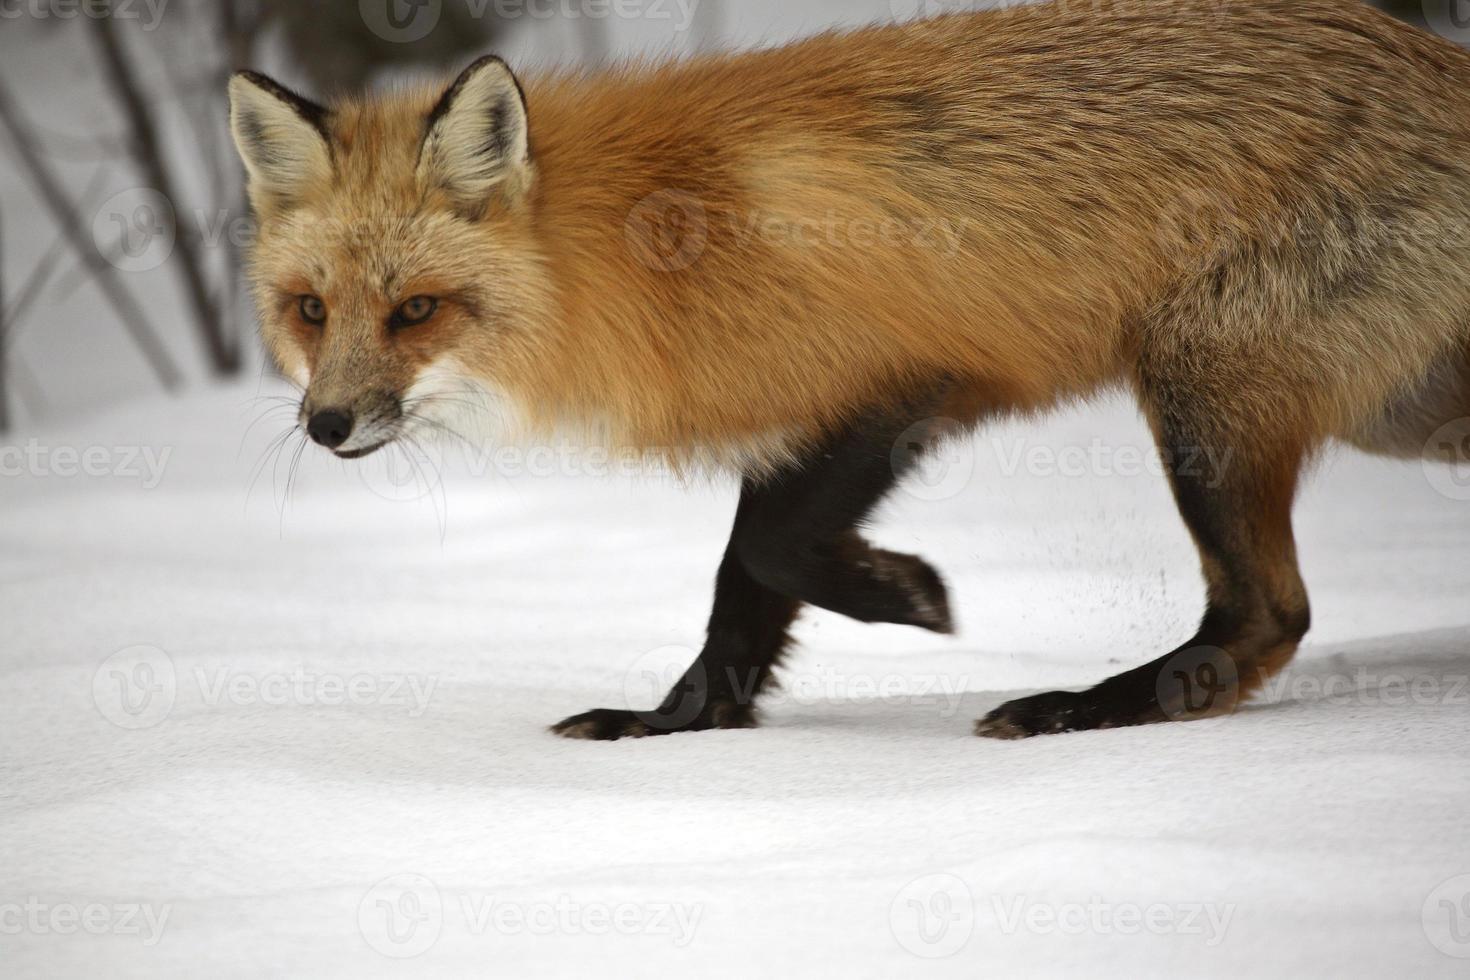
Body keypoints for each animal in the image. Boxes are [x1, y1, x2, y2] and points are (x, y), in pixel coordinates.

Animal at [226, 0, 1470, 734]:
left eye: (417, 310)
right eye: (311, 310)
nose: (326, 424)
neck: (641, 247)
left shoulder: (909, 374)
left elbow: (772, 549)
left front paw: (908, 595)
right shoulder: (794, 415)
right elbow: (740, 591)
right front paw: (675, 727)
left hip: (1203, 400)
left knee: (1269, 613)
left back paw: (1088, 705)